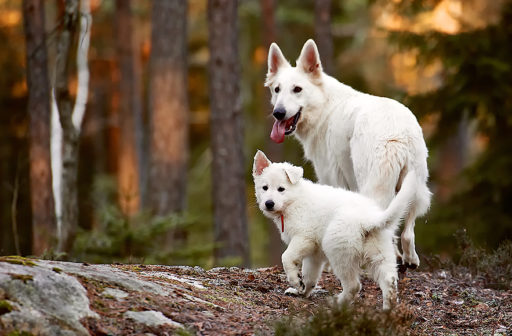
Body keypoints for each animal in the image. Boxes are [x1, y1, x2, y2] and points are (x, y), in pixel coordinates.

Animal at [252, 150, 416, 310]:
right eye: (264, 187)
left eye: (281, 189)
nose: (269, 203)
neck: (294, 200)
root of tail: (368, 220)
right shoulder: (314, 254)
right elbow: (310, 276)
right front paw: (302, 290)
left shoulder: (304, 237)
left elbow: (286, 257)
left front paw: (295, 281)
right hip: (380, 253)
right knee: (389, 281)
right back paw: (388, 309)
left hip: (338, 251)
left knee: (353, 286)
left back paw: (337, 302)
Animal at [266, 38, 430, 268]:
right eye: (277, 89)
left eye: (297, 89)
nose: (278, 113)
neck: (324, 106)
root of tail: (395, 132)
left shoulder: (332, 179)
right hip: (415, 187)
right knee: (406, 231)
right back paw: (409, 259)